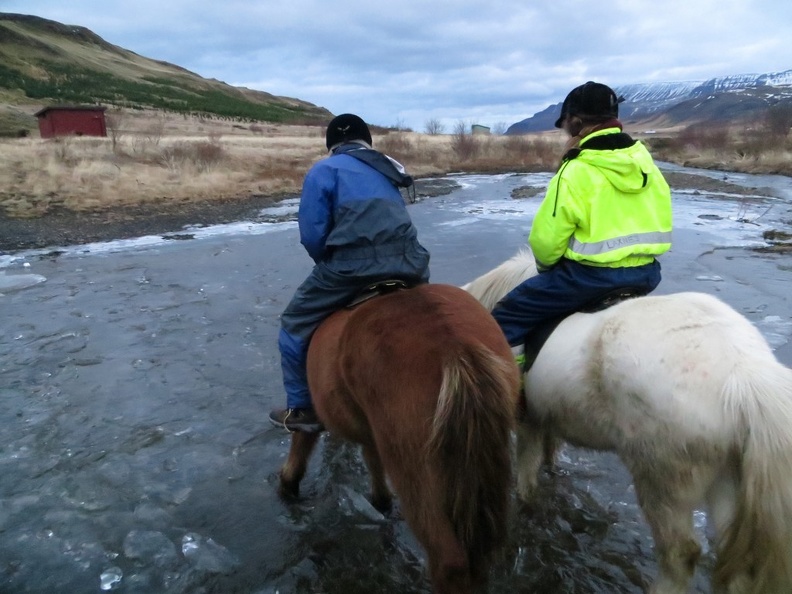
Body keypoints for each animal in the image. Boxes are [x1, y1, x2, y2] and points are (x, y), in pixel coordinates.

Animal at [276, 284, 520, 592]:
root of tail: (455, 347)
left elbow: (301, 443)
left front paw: (288, 486)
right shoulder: (371, 434)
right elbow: (374, 469)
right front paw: (379, 503)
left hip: (413, 469)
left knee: (449, 561)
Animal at [460, 246, 792, 592]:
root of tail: (744, 373)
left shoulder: (529, 424)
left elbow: (526, 476)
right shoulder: (546, 420)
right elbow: (548, 455)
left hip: (661, 478)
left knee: (680, 553)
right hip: (727, 481)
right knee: (734, 561)